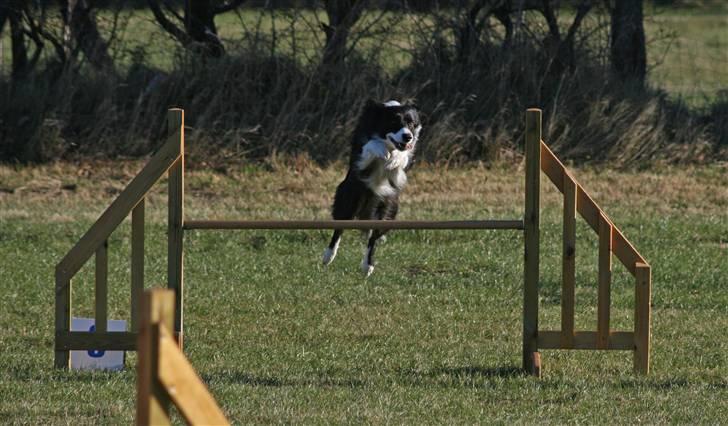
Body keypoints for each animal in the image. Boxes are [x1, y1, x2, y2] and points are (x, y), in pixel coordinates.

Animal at [322, 99, 420, 276]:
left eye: (411, 123)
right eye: (394, 122)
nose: (408, 136)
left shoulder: (405, 165)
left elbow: (402, 158)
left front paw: (395, 158)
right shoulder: (360, 157)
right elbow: (370, 145)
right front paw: (381, 150)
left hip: (388, 208)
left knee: (373, 237)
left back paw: (367, 265)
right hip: (349, 199)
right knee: (339, 228)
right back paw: (328, 256)